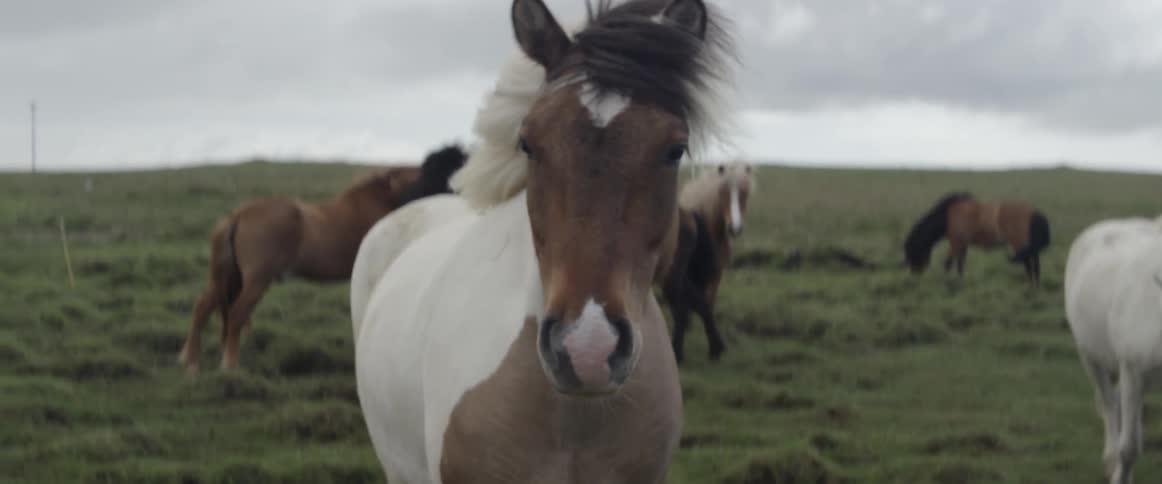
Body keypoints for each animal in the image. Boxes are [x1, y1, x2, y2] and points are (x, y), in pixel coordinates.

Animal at [177, 143, 467, 373]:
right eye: (442, 173)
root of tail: (239, 214)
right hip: (256, 279)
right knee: (236, 313)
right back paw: (229, 365)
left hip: (230, 277)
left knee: (203, 307)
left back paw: (189, 361)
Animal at [903, 192, 1051, 286]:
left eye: (911, 251)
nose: (914, 274)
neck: (948, 215)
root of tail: (1035, 212)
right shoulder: (962, 244)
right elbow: (960, 264)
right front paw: (959, 282)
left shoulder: (955, 242)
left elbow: (948, 264)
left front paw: (946, 282)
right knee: (1034, 265)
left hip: (1020, 244)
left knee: (1030, 265)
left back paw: (1031, 287)